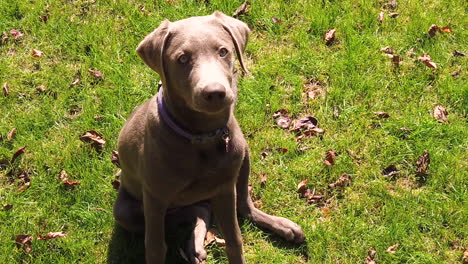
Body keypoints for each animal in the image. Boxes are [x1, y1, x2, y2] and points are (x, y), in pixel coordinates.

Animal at [112, 11, 304, 262]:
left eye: (223, 51)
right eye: (182, 59)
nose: (215, 93)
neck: (202, 136)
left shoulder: (224, 189)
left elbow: (234, 239)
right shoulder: (155, 198)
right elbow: (155, 247)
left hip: (243, 155)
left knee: (240, 206)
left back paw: (283, 226)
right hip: (127, 211)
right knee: (196, 211)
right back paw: (194, 245)